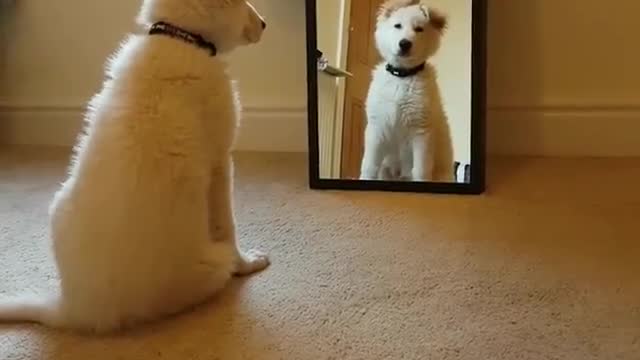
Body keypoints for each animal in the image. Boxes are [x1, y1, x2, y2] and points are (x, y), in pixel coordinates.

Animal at [0, 0, 268, 334]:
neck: (181, 36)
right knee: (222, 262)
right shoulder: (221, 162)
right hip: (214, 265)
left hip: (57, 206)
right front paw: (249, 263)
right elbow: (228, 227)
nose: (264, 23)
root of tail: (74, 309)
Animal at [360, 0, 456, 180]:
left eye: (419, 29)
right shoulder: (377, 128)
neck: (402, 76)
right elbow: (369, 165)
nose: (404, 43)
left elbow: (420, 170)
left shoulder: (421, 132)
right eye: (397, 25)